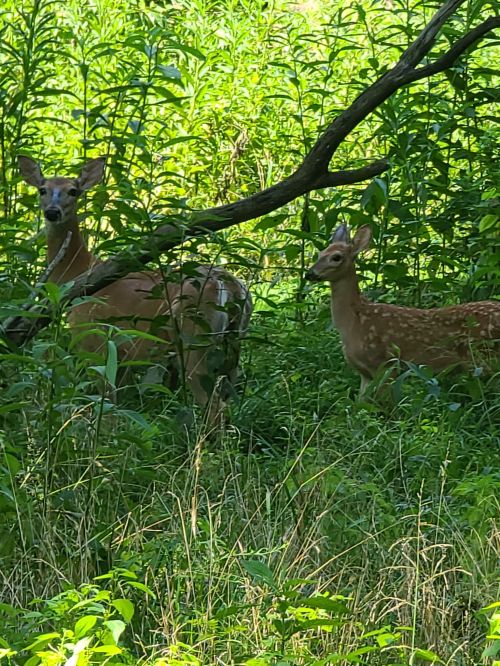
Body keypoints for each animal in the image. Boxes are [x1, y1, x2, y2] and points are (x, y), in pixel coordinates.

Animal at [18, 155, 253, 419]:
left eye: (73, 191)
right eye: (42, 189)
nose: (52, 212)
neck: (79, 273)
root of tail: (229, 285)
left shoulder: (95, 340)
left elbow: (108, 406)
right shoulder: (125, 357)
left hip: (194, 338)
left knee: (215, 407)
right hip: (233, 346)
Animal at [305, 224, 500, 396]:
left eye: (336, 257)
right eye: (319, 254)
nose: (309, 274)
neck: (354, 322)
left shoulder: (385, 363)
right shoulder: (364, 373)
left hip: (486, 357)